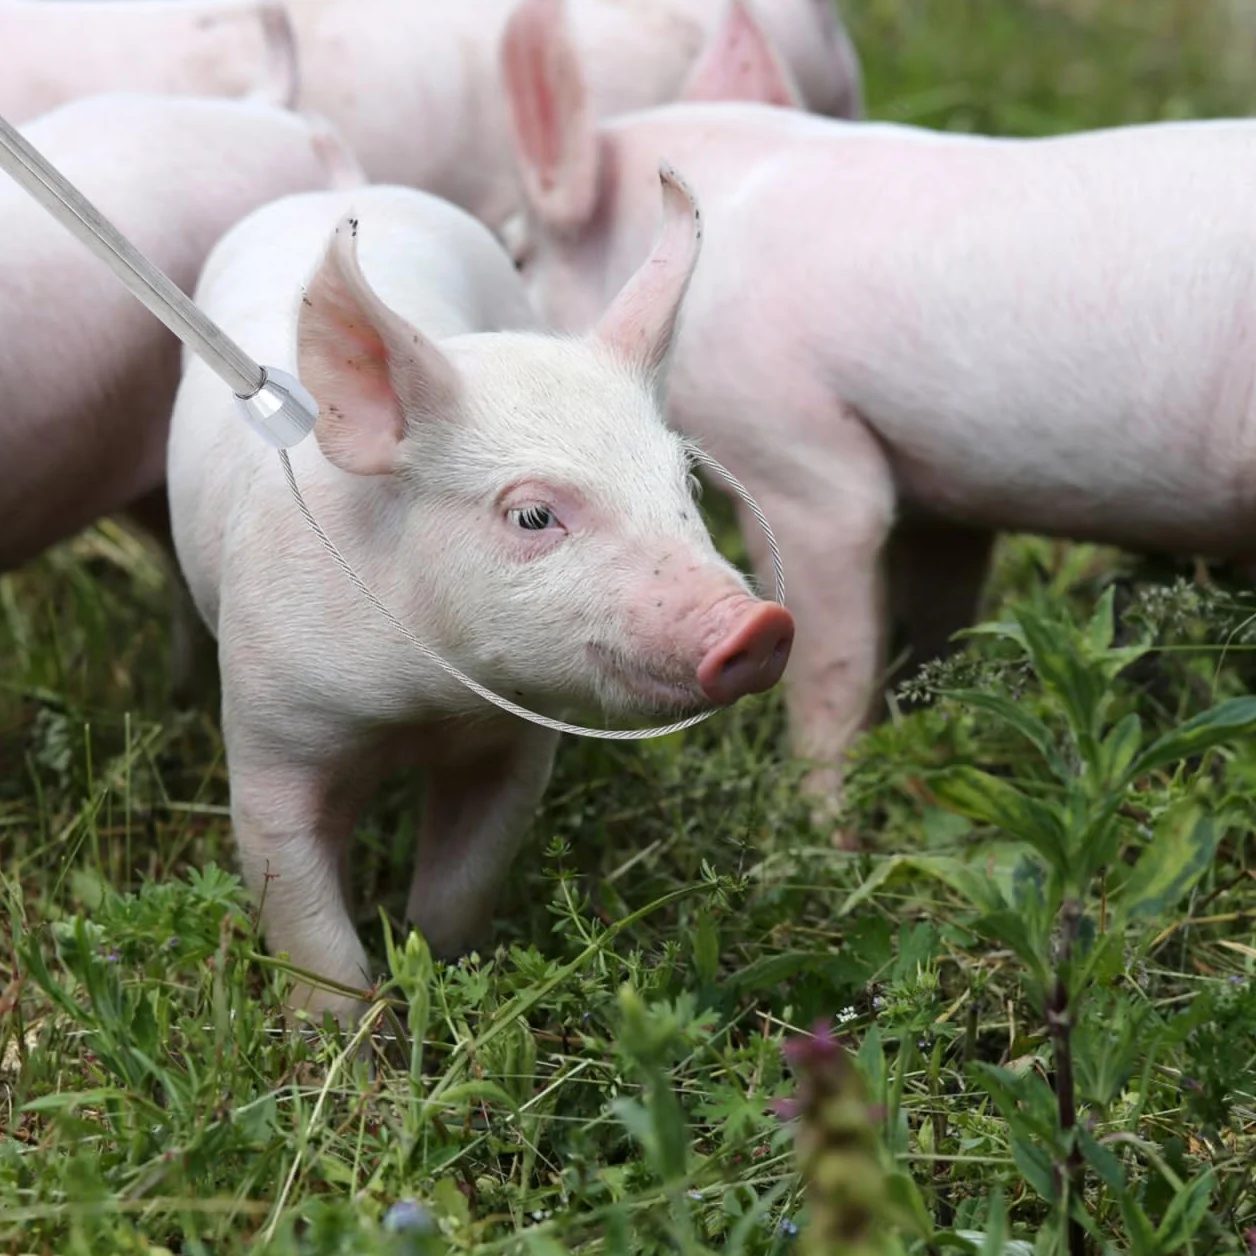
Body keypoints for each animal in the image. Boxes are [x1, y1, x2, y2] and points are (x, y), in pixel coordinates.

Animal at [165, 175, 794, 1023]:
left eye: (687, 487)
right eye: (531, 515)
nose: (760, 624)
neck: (420, 709)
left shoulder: (516, 745)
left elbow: (463, 881)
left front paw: (447, 970)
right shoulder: (271, 726)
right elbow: (303, 919)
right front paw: (340, 1042)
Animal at [502, 0, 1256, 806]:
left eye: (518, 255)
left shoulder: (793, 444)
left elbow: (833, 646)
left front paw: (823, 818)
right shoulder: (947, 490)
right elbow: (936, 611)